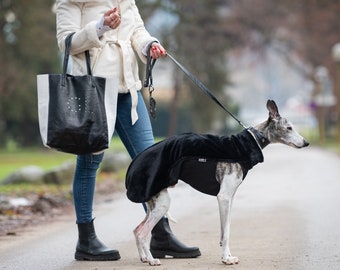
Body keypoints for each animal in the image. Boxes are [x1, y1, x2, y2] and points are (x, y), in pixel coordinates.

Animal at [126, 99, 310, 266]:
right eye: (289, 128)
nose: (306, 142)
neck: (251, 140)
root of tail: (135, 162)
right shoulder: (223, 197)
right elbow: (225, 233)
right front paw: (226, 259)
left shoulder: (230, 199)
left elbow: (226, 229)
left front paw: (227, 255)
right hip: (162, 202)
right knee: (142, 233)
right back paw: (152, 260)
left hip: (154, 203)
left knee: (136, 230)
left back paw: (144, 257)